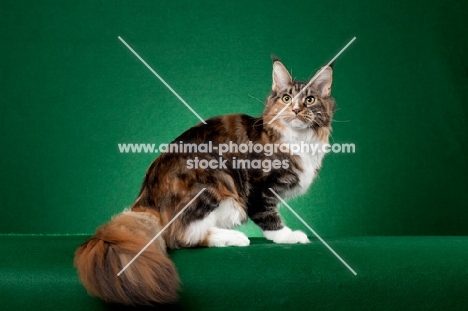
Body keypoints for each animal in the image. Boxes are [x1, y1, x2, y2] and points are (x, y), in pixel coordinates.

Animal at [74, 59, 336, 306]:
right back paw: (235, 238)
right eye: (286, 98)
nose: (296, 109)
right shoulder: (259, 188)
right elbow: (269, 217)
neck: (298, 140)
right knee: (180, 236)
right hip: (212, 182)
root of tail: (145, 199)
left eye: (310, 99)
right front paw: (288, 236)